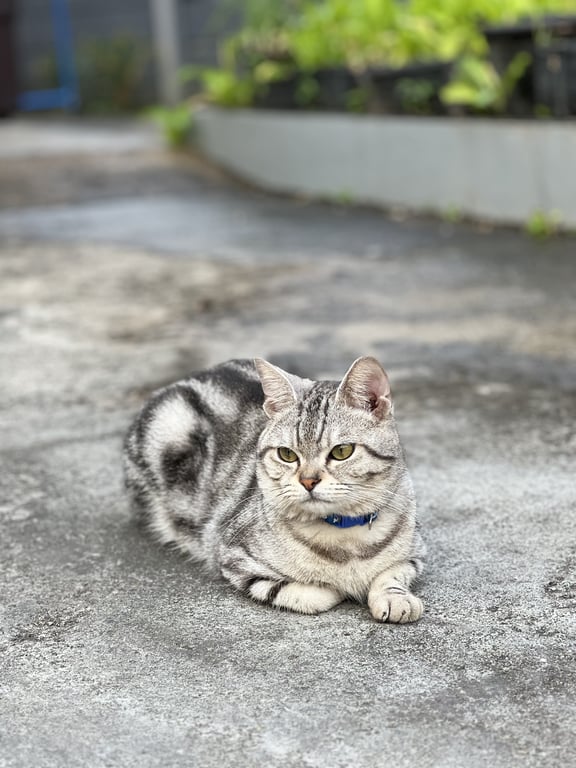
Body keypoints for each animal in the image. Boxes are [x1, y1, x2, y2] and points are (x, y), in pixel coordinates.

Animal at [123, 356, 425, 622]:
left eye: (342, 451)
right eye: (287, 454)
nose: (308, 481)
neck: (346, 537)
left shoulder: (415, 554)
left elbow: (391, 574)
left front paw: (395, 598)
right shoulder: (234, 557)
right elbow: (312, 593)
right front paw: (337, 587)